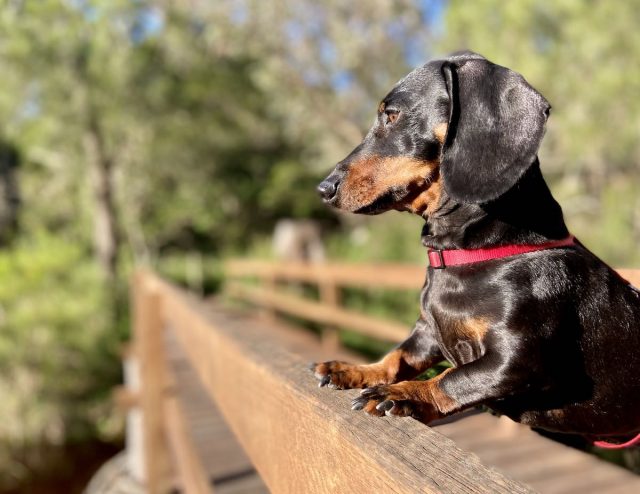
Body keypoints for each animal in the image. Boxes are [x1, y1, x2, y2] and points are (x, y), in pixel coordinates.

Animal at [310, 51, 640, 444]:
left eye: (391, 114)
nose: (323, 188)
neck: (464, 257)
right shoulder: (426, 333)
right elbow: (397, 357)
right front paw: (354, 369)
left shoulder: (515, 360)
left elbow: (453, 379)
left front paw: (404, 394)